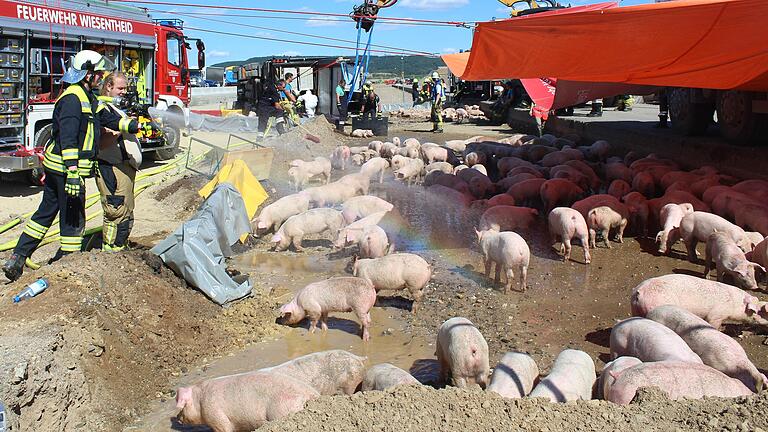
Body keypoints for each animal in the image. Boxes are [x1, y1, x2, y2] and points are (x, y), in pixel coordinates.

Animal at [175, 372, 318, 432]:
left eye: (183, 407)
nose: (177, 417)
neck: (199, 401)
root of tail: (312, 394)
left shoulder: (216, 416)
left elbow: (225, 428)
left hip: (281, 410)